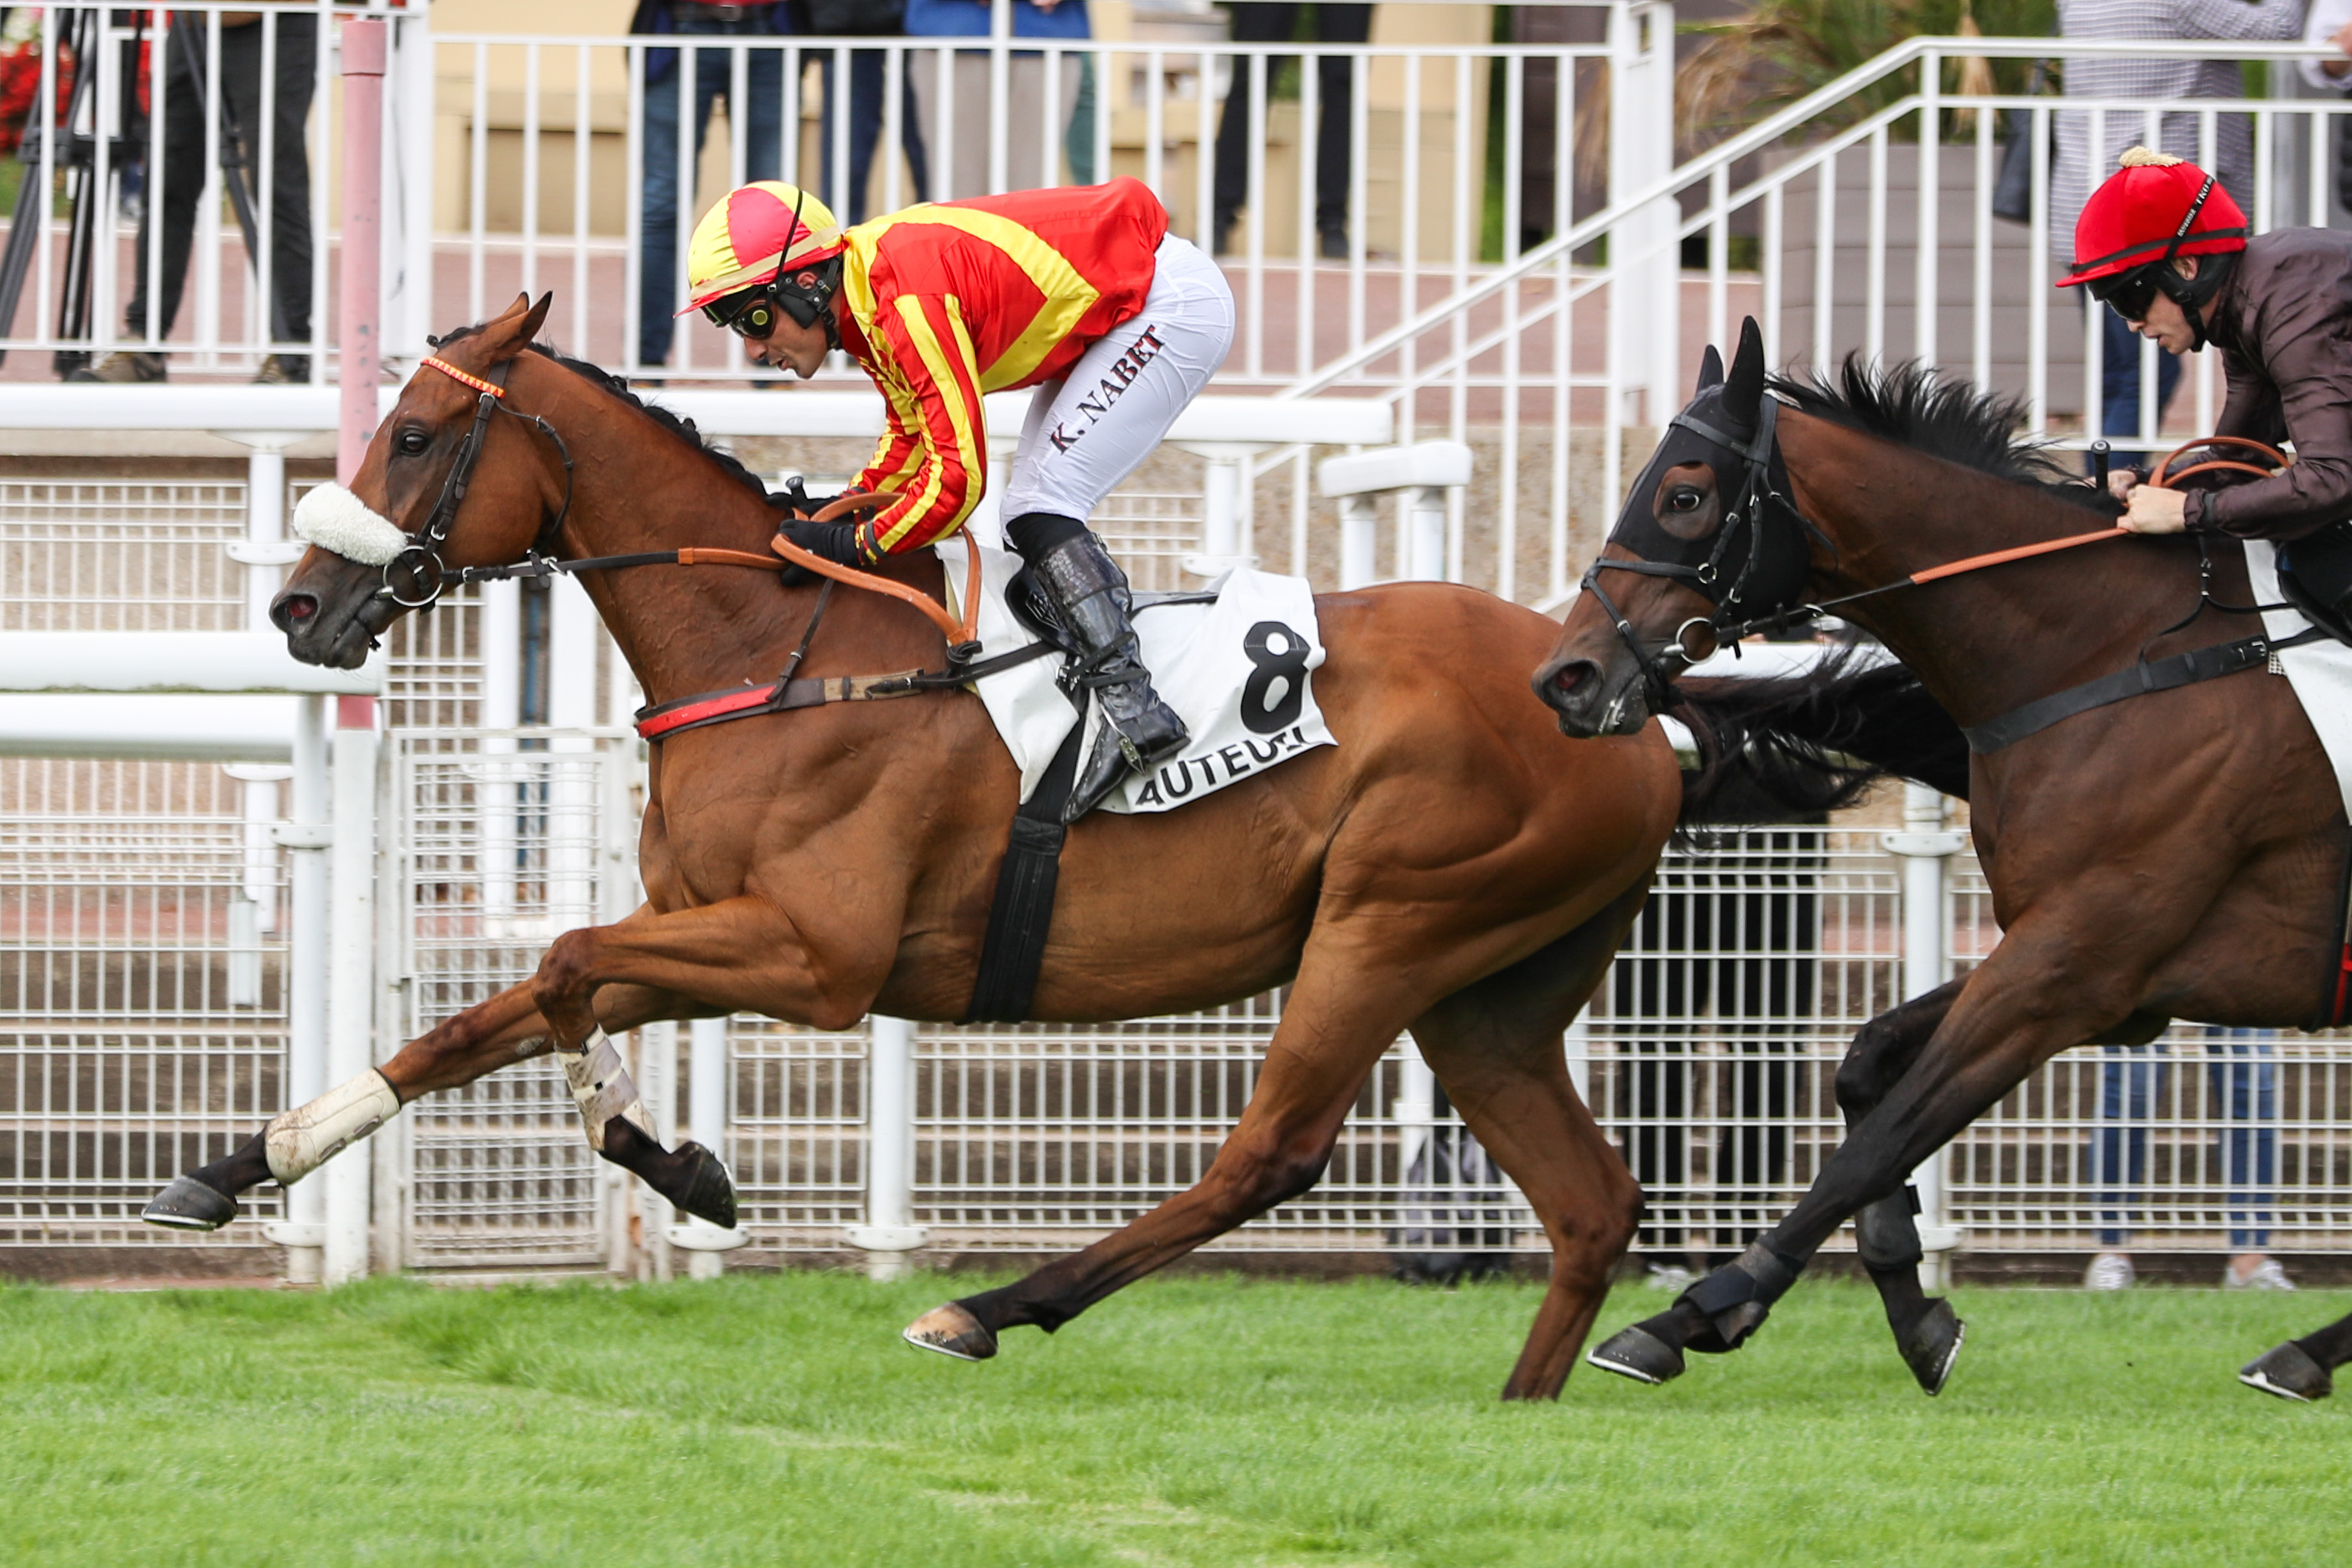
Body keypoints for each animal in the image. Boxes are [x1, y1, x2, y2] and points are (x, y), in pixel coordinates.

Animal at [147, 294, 1778, 1401]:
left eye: (416, 434)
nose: (298, 608)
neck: (782, 653)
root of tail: (1624, 703)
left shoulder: (814, 956)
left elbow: (558, 968)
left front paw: (672, 1162)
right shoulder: (712, 923)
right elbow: (490, 1013)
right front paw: (242, 1162)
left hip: (1392, 923)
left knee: (1269, 1153)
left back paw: (985, 1310)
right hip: (1490, 988)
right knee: (1589, 1200)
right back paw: (1527, 1398)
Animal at [1533, 324, 2352, 1401]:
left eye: (1684, 495)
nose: (1568, 677)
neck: (2116, 658)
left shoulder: (2072, 970)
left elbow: (1879, 1140)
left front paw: (1699, 1309)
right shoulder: (2095, 971)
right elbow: (1866, 1069)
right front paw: (1911, 1298)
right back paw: (2305, 1353)